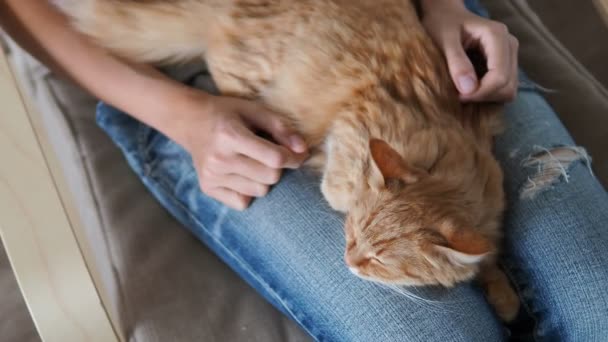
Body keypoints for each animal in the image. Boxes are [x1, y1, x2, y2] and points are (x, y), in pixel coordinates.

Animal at [57, 0, 520, 320]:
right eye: (354, 236)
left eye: (379, 260)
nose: (349, 261)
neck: (447, 150)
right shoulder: (352, 125)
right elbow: (339, 185)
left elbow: (487, 258)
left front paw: (505, 295)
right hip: (248, 72)